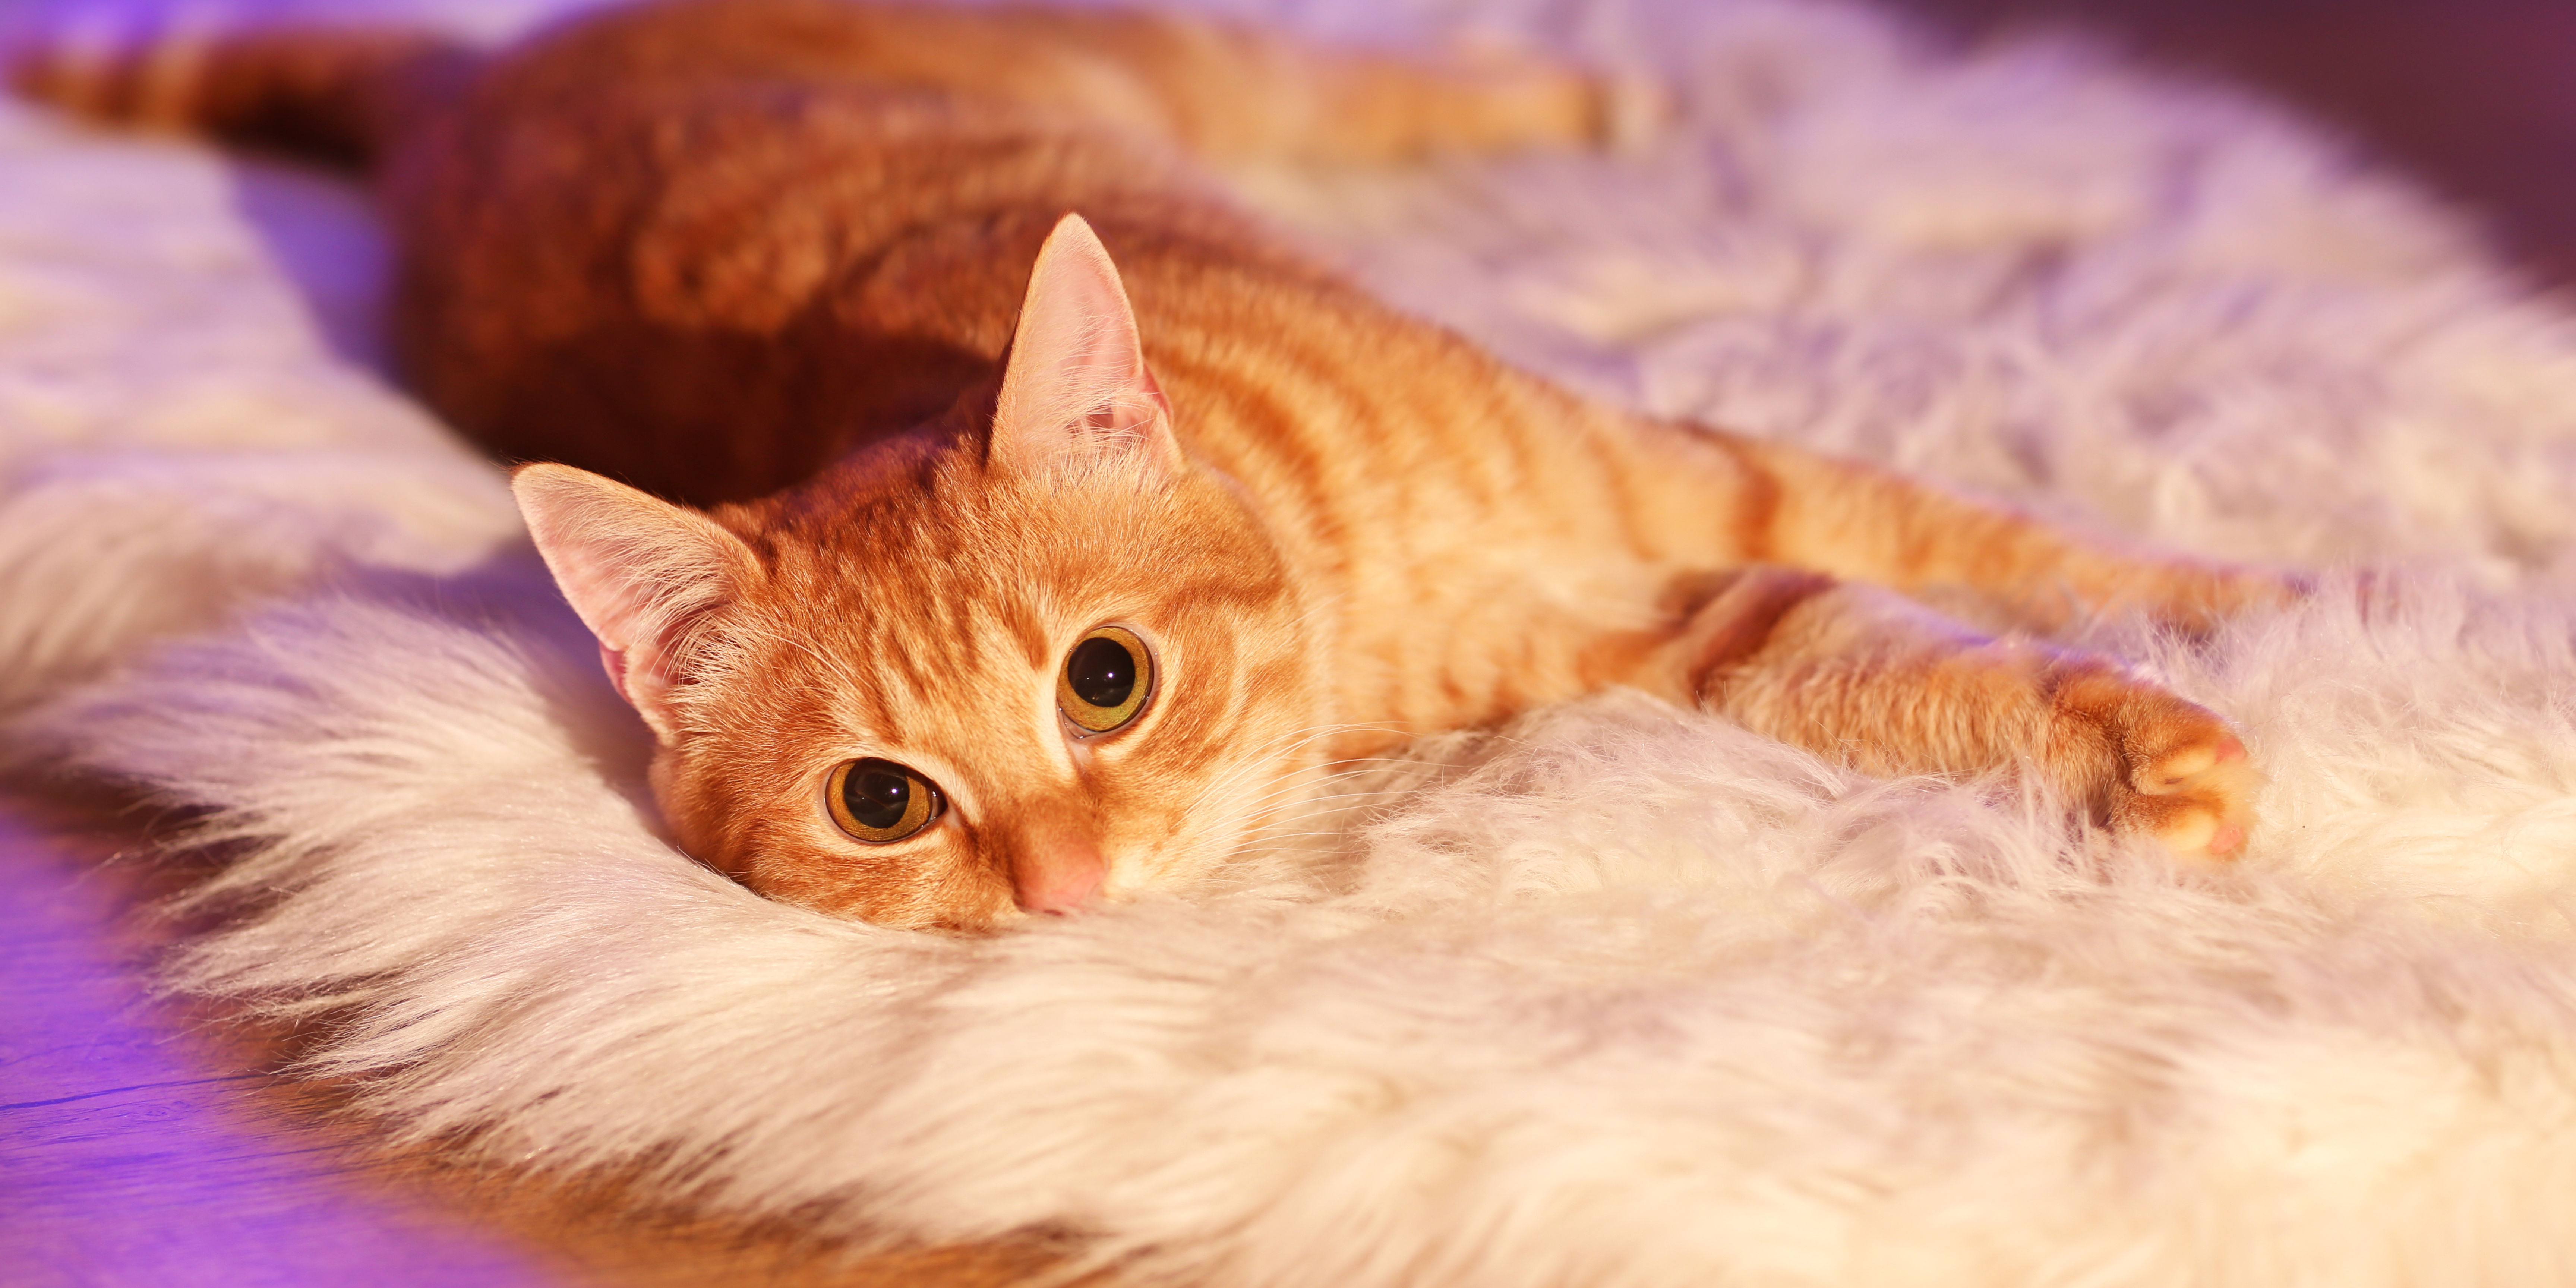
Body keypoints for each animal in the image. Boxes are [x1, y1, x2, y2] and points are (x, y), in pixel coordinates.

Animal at [15, 0, 2277, 927]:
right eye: (884, 802)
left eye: (1106, 682)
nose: (1068, 890)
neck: (1361, 565)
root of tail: (469, 85)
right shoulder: (1690, 621)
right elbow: (1878, 657)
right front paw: (2138, 737)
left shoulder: (1689, 482)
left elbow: (1967, 537)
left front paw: (2271, 602)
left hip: (1194, 65)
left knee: (1363, 81)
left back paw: (1597, 92)